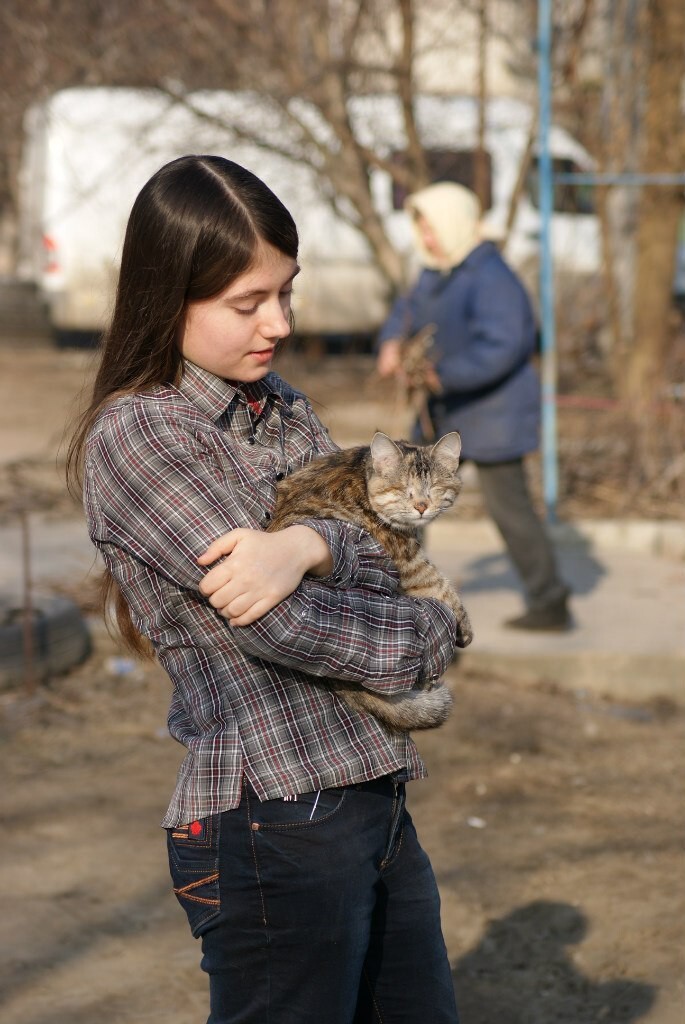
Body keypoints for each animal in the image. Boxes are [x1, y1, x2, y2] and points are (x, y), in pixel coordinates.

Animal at [266, 428, 471, 733]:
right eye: (402, 489)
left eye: (434, 487)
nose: (422, 506)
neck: (361, 474)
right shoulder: (412, 564)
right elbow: (441, 586)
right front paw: (465, 626)